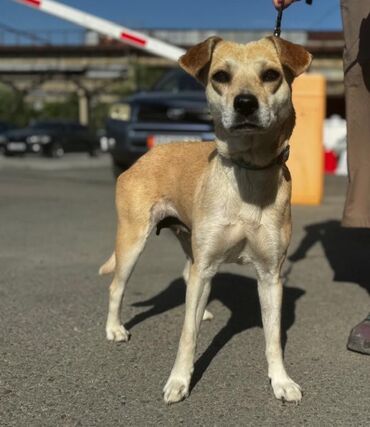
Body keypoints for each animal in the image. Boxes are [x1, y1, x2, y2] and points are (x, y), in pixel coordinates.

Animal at [99, 36, 310, 404]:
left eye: (271, 74)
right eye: (220, 76)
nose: (245, 103)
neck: (247, 175)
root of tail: (147, 155)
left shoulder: (270, 275)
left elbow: (273, 338)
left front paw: (281, 381)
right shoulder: (207, 263)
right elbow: (188, 333)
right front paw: (178, 381)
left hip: (190, 242)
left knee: (188, 274)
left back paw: (205, 308)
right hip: (132, 240)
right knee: (117, 285)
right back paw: (115, 328)